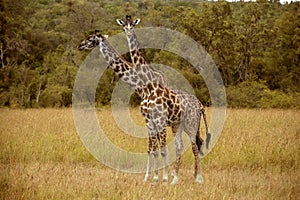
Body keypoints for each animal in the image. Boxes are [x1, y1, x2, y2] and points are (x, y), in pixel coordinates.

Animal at [117, 15, 211, 184]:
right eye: (123, 26)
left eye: (132, 25)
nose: (127, 32)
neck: (149, 85)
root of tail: (200, 105)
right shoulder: (151, 121)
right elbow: (155, 148)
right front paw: (157, 177)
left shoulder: (157, 120)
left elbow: (159, 149)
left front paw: (158, 178)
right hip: (182, 125)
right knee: (187, 145)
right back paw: (180, 177)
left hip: (190, 124)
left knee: (194, 146)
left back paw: (197, 178)